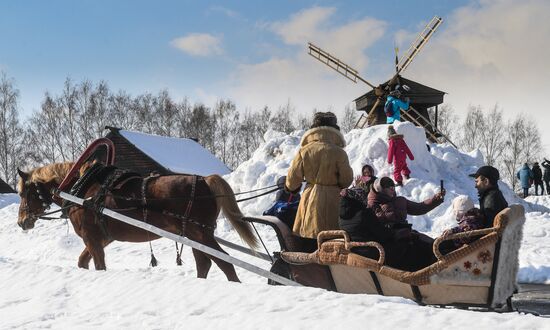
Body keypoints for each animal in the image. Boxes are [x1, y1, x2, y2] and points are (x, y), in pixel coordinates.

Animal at [16, 162, 258, 282]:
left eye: (24, 193)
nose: (21, 222)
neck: (80, 190)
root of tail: (205, 180)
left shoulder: (92, 238)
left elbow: (99, 266)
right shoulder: (101, 239)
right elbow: (82, 262)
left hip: (200, 234)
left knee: (226, 263)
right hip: (193, 235)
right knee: (204, 264)